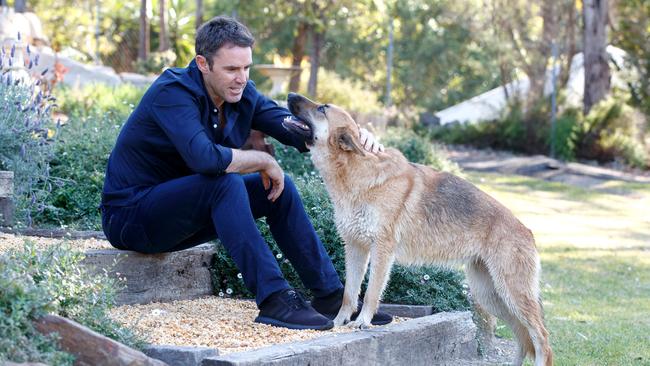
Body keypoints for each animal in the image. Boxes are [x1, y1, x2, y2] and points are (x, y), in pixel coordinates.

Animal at [284, 93, 552, 366]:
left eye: (322, 108)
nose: (290, 95)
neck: (357, 170)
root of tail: (527, 232)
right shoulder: (356, 248)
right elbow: (349, 293)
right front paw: (339, 322)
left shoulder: (381, 251)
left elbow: (370, 293)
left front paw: (363, 322)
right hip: (491, 296)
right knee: (522, 336)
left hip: (511, 295)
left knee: (541, 337)